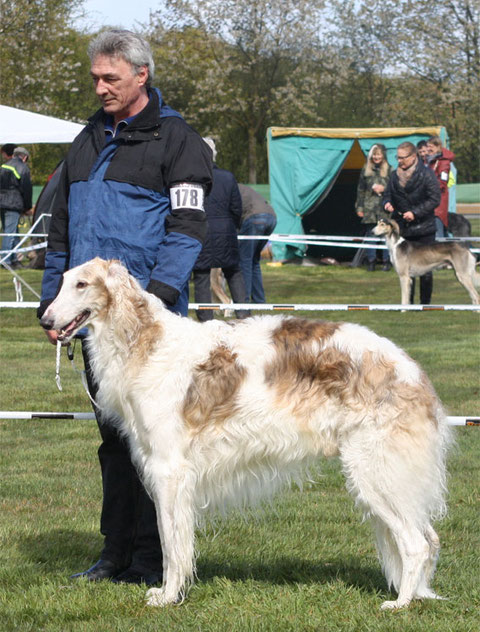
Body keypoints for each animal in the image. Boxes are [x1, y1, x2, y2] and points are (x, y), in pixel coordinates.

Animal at [39, 260, 452, 608]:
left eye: (81, 284)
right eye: (60, 281)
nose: (44, 319)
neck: (145, 342)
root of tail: (411, 370)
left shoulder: (169, 470)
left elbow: (172, 544)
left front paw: (168, 596)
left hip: (374, 471)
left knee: (416, 543)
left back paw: (400, 603)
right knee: (431, 537)